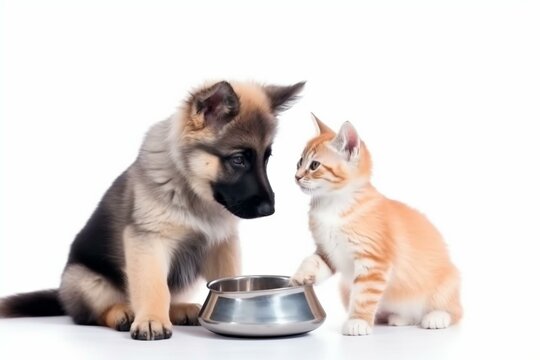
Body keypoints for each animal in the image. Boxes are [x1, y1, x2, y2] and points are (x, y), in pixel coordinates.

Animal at [0, 79, 304, 340]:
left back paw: (180, 310)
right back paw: (122, 313)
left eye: (266, 158)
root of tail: (63, 295)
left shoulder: (222, 244)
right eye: (239, 159)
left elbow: (226, 277)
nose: (269, 210)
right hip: (85, 280)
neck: (193, 191)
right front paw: (151, 320)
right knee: (92, 313)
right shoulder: (148, 240)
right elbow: (153, 286)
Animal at [294, 115, 462, 334]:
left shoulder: (373, 263)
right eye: (299, 162)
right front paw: (302, 275)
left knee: (455, 312)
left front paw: (358, 321)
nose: (296, 176)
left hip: (446, 284)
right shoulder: (328, 251)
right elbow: (313, 261)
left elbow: (364, 296)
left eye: (314, 165)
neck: (332, 204)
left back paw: (437, 317)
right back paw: (400, 318)